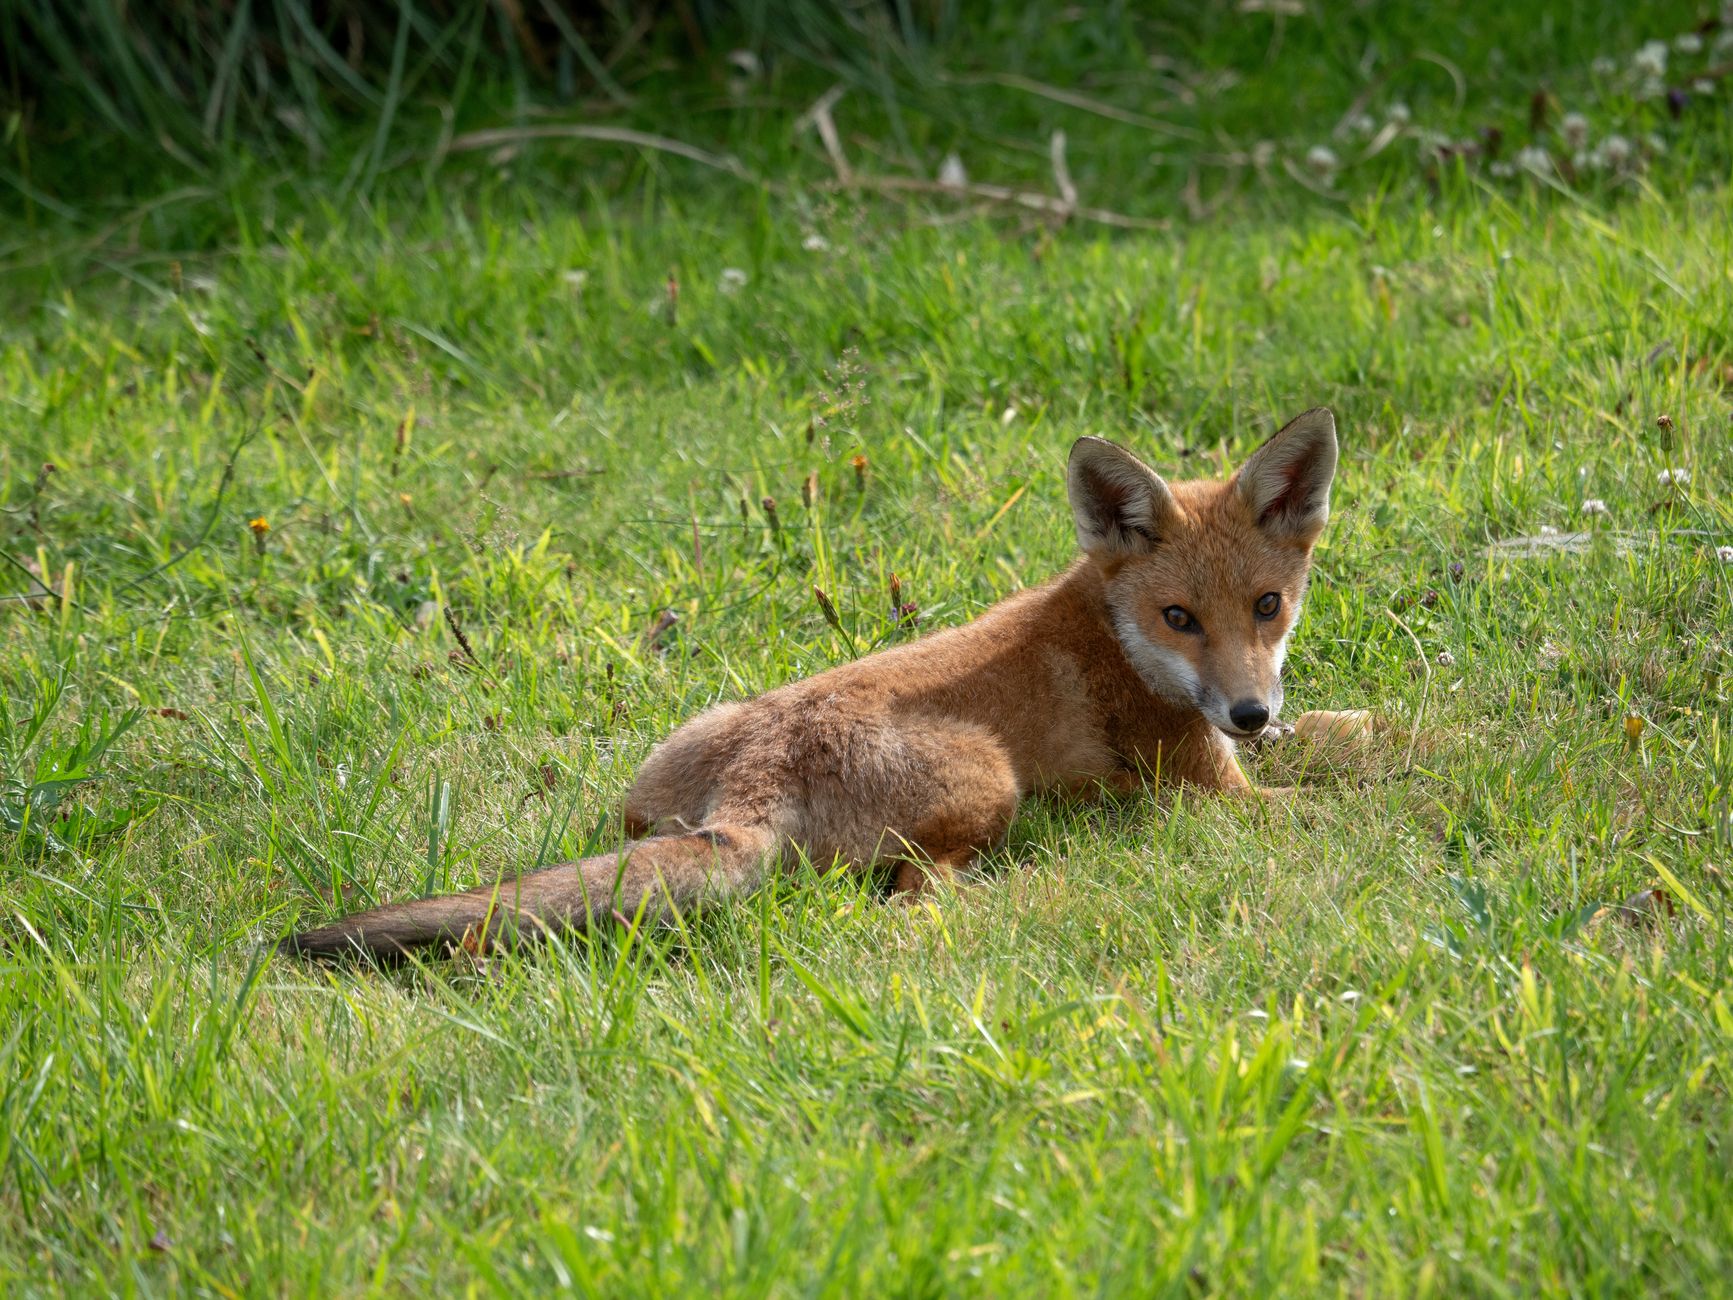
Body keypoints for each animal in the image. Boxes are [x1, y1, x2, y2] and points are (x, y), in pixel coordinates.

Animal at [283, 406, 1341, 960]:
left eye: (1266, 606)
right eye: (1179, 619)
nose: (1247, 712)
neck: (1107, 629)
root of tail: (755, 782)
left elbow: (1354, 734)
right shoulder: (1214, 789)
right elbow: (1347, 797)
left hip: (670, 768)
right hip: (989, 782)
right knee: (915, 901)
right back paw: (1045, 879)